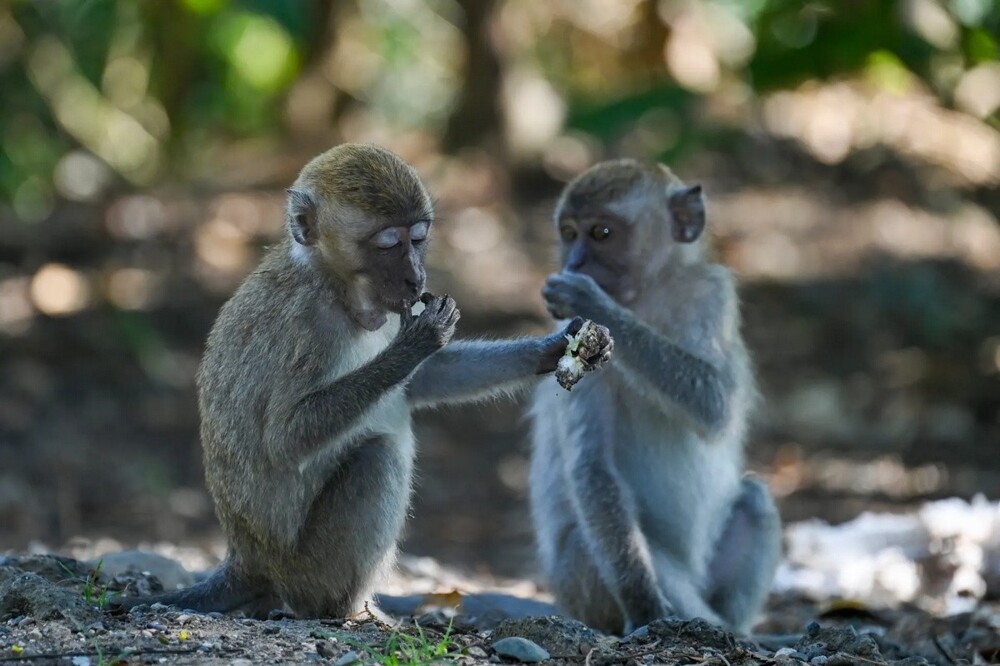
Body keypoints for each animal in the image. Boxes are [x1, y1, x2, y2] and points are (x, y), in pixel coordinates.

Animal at [109, 144, 608, 616]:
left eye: (418, 238)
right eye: (388, 244)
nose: (416, 276)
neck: (336, 286)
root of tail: (248, 559)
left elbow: (422, 382)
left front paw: (556, 347)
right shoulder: (306, 326)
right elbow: (284, 439)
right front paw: (417, 342)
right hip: (308, 567)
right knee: (378, 457)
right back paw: (347, 610)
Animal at [532, 157, 780, 632]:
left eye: (601, 233)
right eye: (569, 232)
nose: (574, 261)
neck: (647, 297)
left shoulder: (711, 294)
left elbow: (716, 402)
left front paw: (596, 303)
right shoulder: (569, 335)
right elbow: (594, 467)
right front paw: (644, 605)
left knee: (755, 502)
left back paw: (732, 628)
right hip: (579, 590)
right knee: (590, 543)